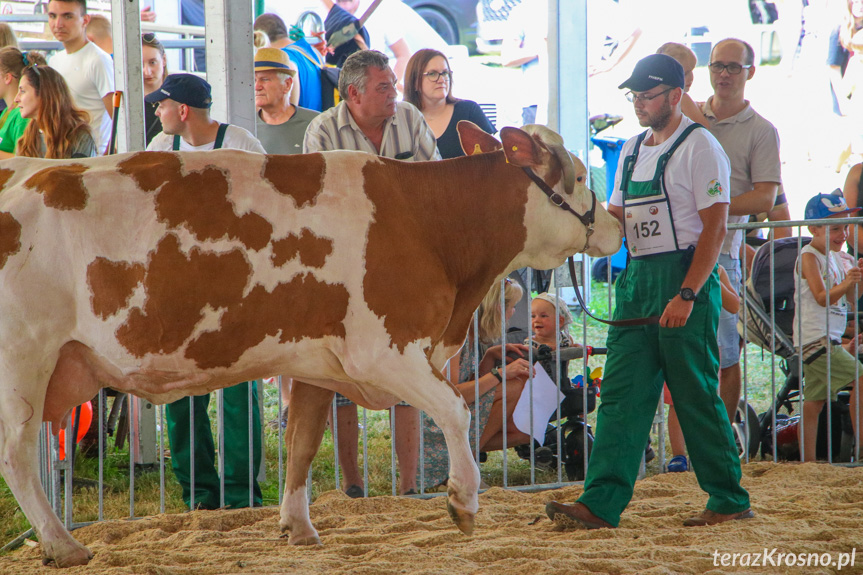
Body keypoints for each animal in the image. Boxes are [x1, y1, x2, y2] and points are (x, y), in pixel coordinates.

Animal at [0, 122, 620, 568]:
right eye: (580, 173)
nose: (615, 222)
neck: (427, 222)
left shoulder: (318, 362)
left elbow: (301, 441)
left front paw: (297, 527)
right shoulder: (384, 351)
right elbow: (454, 409)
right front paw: (463, 503)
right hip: (25, 362)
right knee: (17, 456)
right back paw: (62, 544)